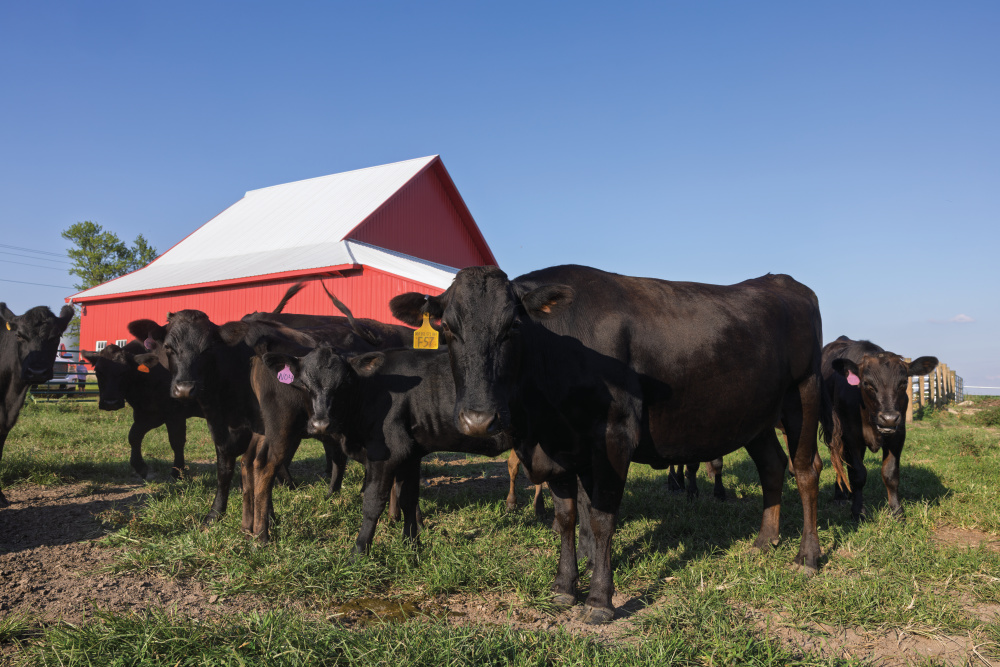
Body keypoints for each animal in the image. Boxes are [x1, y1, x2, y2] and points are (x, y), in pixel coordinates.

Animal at [82, 341, 203, 480]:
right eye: (98, 371)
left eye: (125, 371)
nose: (110, 402)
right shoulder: (147, 414)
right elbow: (134, 436)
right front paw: (141, 467)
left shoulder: (175, 413)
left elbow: (176, 442)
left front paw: (177, 473)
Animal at [390, 264, 824, 624]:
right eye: (448, 329)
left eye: (511, 327)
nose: (478, 419)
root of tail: (784, 281)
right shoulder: (559, 449)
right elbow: (567, 517)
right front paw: (564, 588)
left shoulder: (615, 436)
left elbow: (601, 519)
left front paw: (600, 600)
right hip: (756, 416)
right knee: (772, 466)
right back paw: (765, 541)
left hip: (803, 395)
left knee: (805, 470)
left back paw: (808, 556)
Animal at [821, 335, 938, 521]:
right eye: (867, 383)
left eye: (903, 382)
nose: (888, 419)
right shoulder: (850, 435)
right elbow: (857, 474)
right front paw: (858, 511)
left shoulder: (898, 435)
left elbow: (890, 473)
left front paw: (896, 511)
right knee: (839, 460)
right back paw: (840, 495)